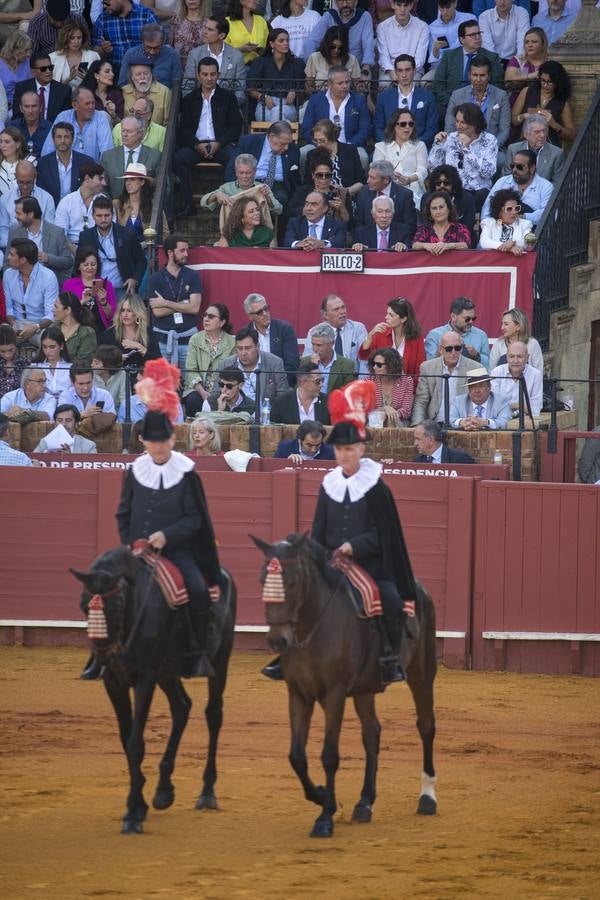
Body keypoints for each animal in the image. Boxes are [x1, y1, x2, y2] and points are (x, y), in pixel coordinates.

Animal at [71, 544, 236, 832]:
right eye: (83, 603)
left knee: (213, 714)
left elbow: (136, 742)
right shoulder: (114, 682)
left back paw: (207, 792)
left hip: (219, 659)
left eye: (117, 604)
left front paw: (133, 814)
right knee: (181, 707)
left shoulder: (145, 678)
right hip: (168, 672)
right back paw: (164, 790)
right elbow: (126, 741)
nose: (103, 655)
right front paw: (140, 804)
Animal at [251, 536, 438, 836]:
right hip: (364, 689)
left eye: (292, 581)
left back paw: (427, 797)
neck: (312, 626)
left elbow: (329, 754)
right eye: (261, 580)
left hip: (422, 672)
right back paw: (365, 802)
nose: (278, 640)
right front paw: (319, 794)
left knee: (426, 725)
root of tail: (420, 588)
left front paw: (325, 817)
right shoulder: (298, 694)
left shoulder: (334, 694)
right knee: (372, 732)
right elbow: (296, 756)